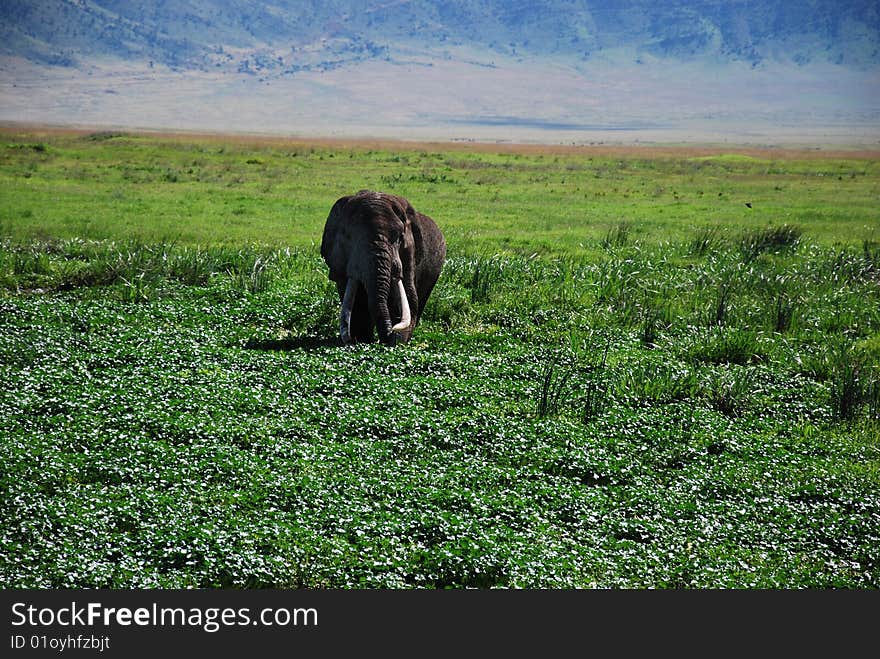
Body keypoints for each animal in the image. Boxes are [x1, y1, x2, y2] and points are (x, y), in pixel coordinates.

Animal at [322, 189, 446, 346]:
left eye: (400, 237)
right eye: (348, 236)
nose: (390, 332)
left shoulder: (409, 258)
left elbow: (408, 299)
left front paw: (396, 340)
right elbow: (356, 302)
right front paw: (361, 341)